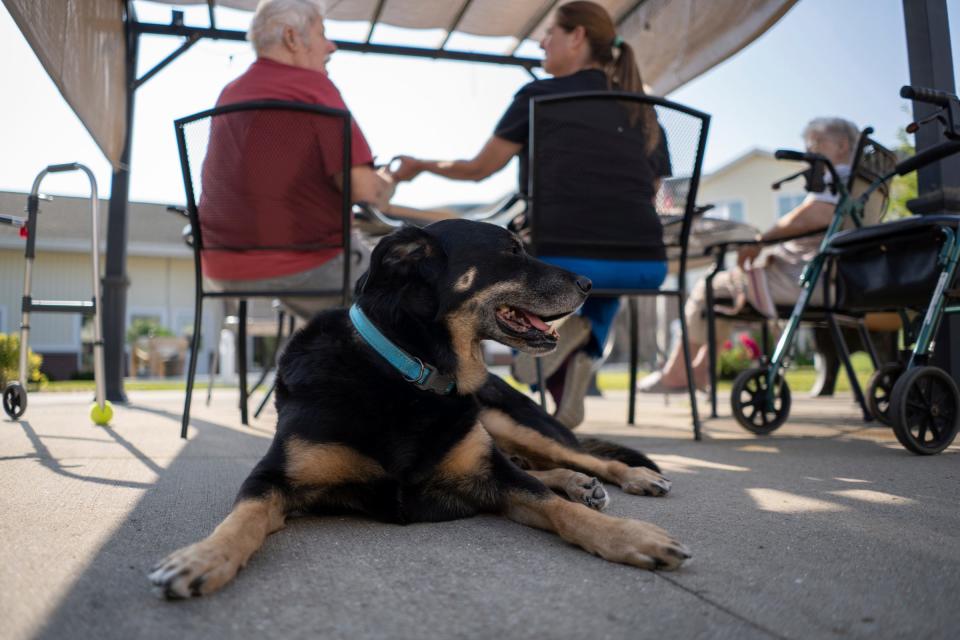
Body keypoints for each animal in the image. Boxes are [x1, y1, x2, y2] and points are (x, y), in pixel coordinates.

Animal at [150, 220, 688, 600]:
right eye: (511, 251)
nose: (590, 282)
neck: (409, 369)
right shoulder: (271, 478)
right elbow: (241, 519)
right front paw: (201, 558)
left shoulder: (493, 475)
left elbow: (554, 506)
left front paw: (631, 536)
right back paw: (579, 483)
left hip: (506, 419)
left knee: (580, 456)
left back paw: (626, 477)